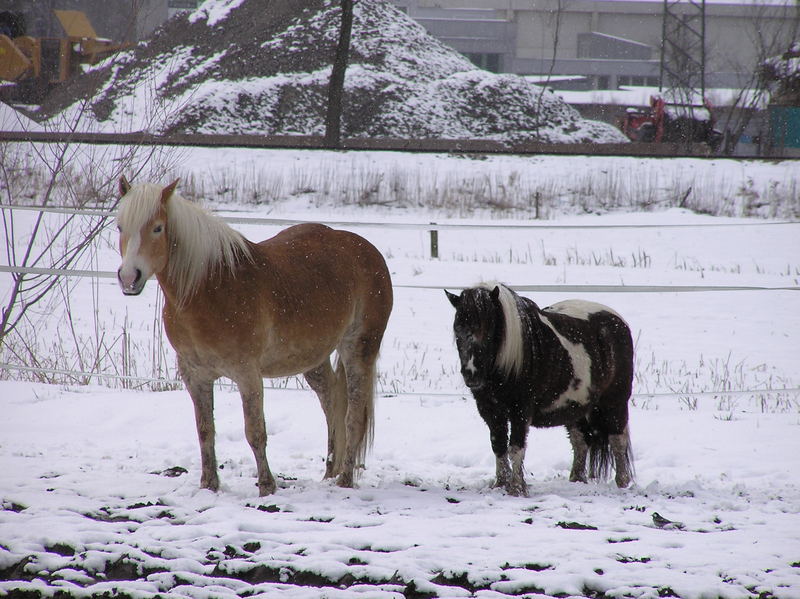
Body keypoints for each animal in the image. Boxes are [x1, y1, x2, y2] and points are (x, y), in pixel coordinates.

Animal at [115, 178, 394, 496]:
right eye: (119, 227)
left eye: (158, 228)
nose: (129, 277)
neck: (210, 289)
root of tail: (368, 250)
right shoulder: (194, 375)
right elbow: (205, 430)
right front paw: (209, 485)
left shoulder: (247, 373)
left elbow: (255, 432)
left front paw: (267, 486)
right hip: (313, 359)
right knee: (332, 401)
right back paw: (329, 474)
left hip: (359, 348)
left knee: (353, 415)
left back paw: (345, 479)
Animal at [446, 282, 636, 496]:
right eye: (458, 330)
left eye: (488, 332)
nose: (471, 374)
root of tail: (617, 321)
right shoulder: (490, 411)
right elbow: (498, 445)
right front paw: (500, 484)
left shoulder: (521, 411)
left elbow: (516, 448)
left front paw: (516, 489)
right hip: (575, 407)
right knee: (580, 441)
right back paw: (577, 480)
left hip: (615, 402)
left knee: (617, 441)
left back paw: (622, 484)